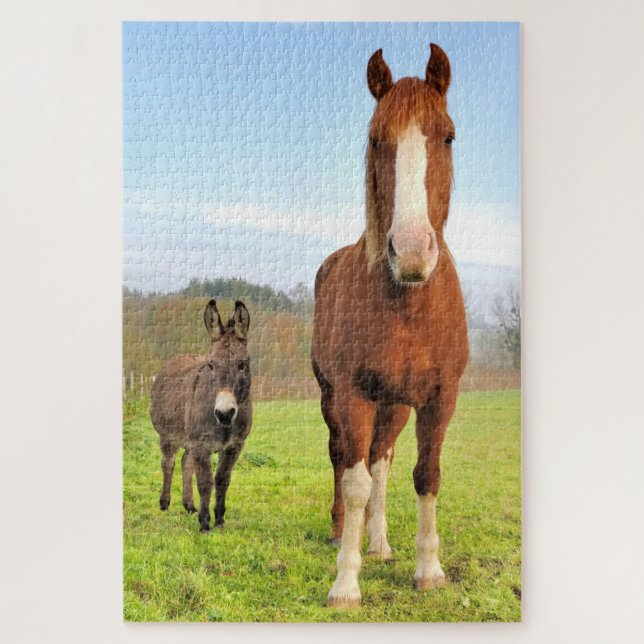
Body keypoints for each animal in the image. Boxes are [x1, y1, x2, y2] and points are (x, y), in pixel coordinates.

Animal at [150, 299, 252, 532]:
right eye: (211, 364)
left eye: (243, 364)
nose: (224, 414)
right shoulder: (201, 444)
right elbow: (205, 482)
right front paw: (205, 523)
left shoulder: (234, 445)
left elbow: (222, 479)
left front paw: (219, 520)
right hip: (168, 436)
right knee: (168, 463)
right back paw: (165, 502)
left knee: (186, 462)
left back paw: (188, 505)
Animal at [311, 44, 468, 608]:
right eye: (377, 139)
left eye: (447, 135)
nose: (414, 252)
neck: (407, 304)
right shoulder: (353, 395)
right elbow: (355, 481)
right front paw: (345, 582)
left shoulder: (439, 398)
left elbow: (426, 476)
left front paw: (429, 569)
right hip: (333, 399)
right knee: (344, 459)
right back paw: (344, 532)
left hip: (395, 405)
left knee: (381, 459)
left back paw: (378, 543)